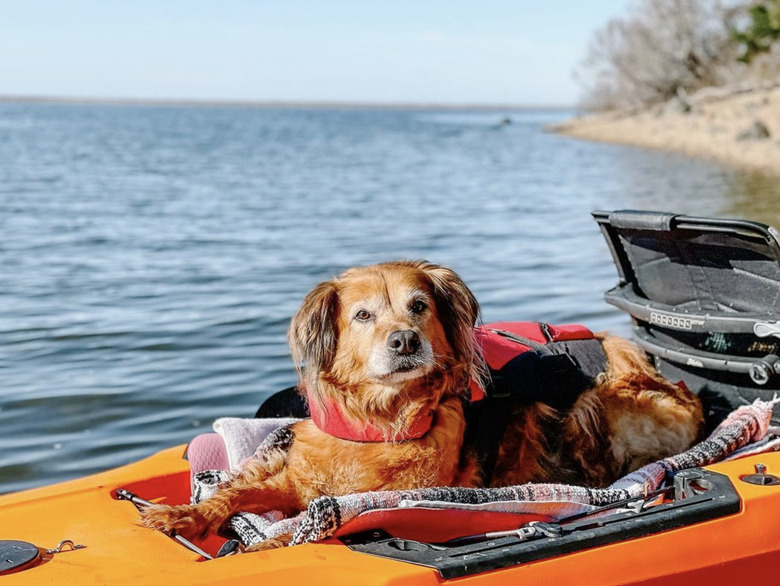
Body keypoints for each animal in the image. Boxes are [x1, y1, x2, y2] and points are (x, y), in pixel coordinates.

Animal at [142, 260, 708, 548]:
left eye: (419, 306)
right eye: (363, 315)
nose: (405, 341)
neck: (378, 420)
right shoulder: (296, 481)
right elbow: (233, 494)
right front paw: (183, 516)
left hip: (580, 405)